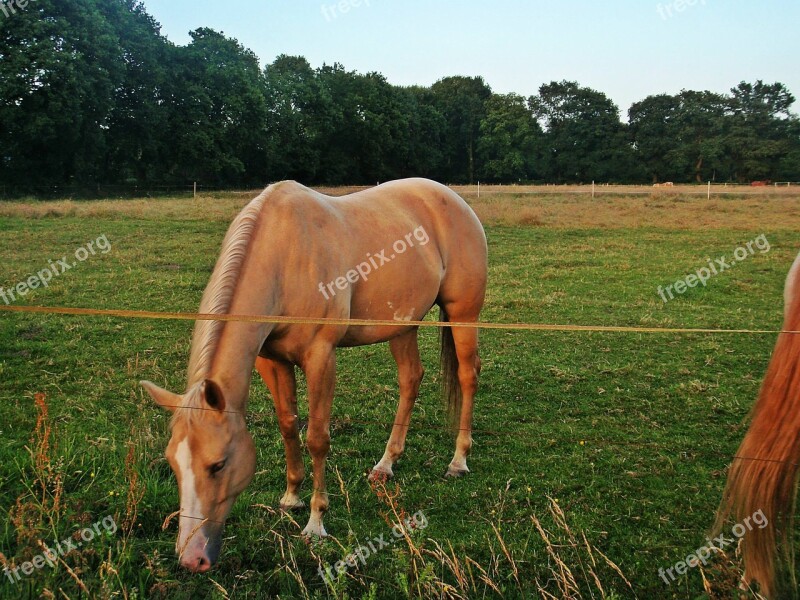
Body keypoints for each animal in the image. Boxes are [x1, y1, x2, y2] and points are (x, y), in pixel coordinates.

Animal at [140, 178, 488, 572]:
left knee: (467, 375)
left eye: (218, 464)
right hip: (402, 326)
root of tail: (454, 199)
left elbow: (317, 439)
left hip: (463, 314)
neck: (282, 255)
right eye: (173, 464)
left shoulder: (321, 357)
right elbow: (288, 424)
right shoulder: (272, 362)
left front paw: (316, 522)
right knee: (410, 379)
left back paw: (458, 460)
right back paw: (386, 464)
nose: (191, 557)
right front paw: (291, 496)